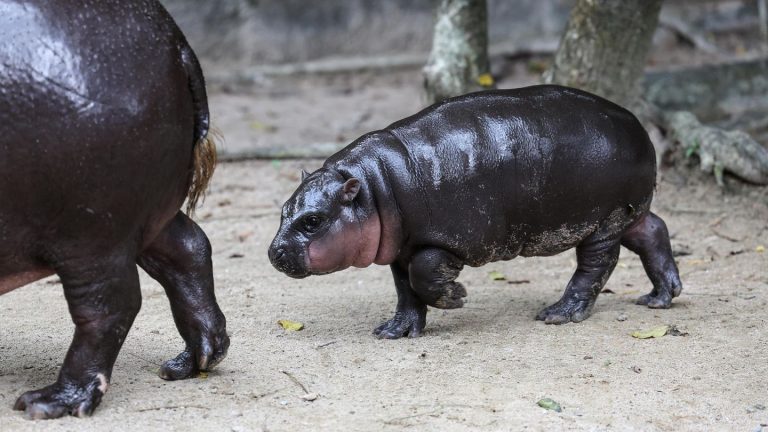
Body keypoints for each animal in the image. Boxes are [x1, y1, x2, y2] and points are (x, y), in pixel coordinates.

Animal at [0, 0, 228, 418]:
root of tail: (177, 43)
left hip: (89, 233)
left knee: (109, 307)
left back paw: (50, 402)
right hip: (143, 217)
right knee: (189, 250)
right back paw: (190, 362)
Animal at [270, 84, 684, 340]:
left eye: (313, 220)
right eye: (283, 209)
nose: (274, 252)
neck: (374, 187)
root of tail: (639, 127)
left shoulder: (450, 242)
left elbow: (423, 276)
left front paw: (458, 297)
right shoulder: (401, 248)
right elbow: (405, 288)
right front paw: (393, 331)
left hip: (603, 221)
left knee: (597, 265)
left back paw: (558, 313)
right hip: (628, 213)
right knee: (654, 231)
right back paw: (660, 297)